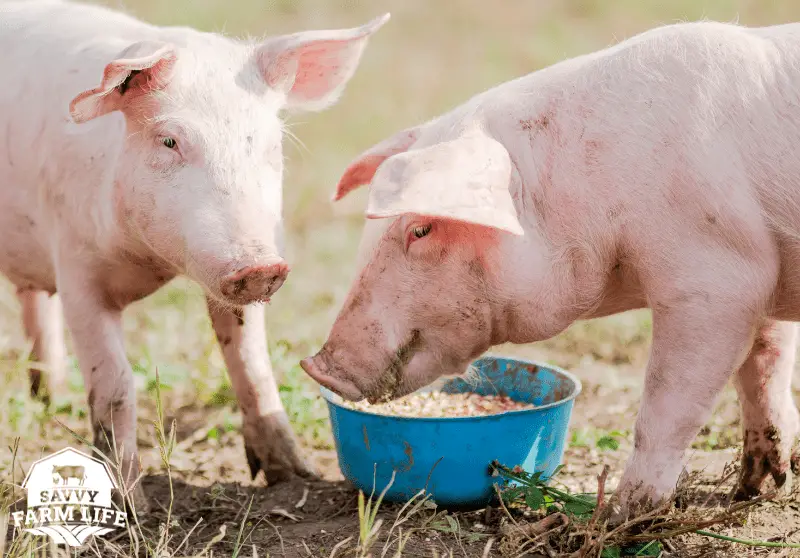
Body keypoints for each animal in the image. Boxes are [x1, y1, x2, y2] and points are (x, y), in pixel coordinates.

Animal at [0, 0, 389, 509]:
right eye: (169, 141)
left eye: (271, 144)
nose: (261, 266)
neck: (149, 263)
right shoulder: (75, 267)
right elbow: (115, 384)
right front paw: (131, 507)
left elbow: (251, 363)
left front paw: (295, 475)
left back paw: (52, 396)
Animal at [301, 20, 800, 521]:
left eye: (421, 229)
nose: (317, 366)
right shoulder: (761, 276)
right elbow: (764, 365)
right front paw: (757, 488)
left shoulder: (718, 278)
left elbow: (668, 403)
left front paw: (623, 514)